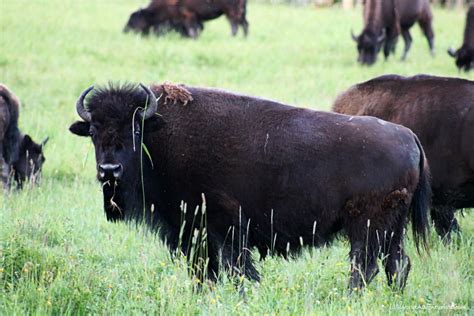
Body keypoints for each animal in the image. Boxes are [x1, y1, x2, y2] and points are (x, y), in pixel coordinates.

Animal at [69, 82, 430, 292]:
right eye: (94, 131)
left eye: (134, 129)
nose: (109, 170)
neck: (160, 137)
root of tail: (409, 136)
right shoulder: (192, 232)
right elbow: (206, 270)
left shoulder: (222, 225)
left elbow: (234, 267)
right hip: (391, 228)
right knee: (397, 264)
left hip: (367, 226)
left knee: (365, 266)